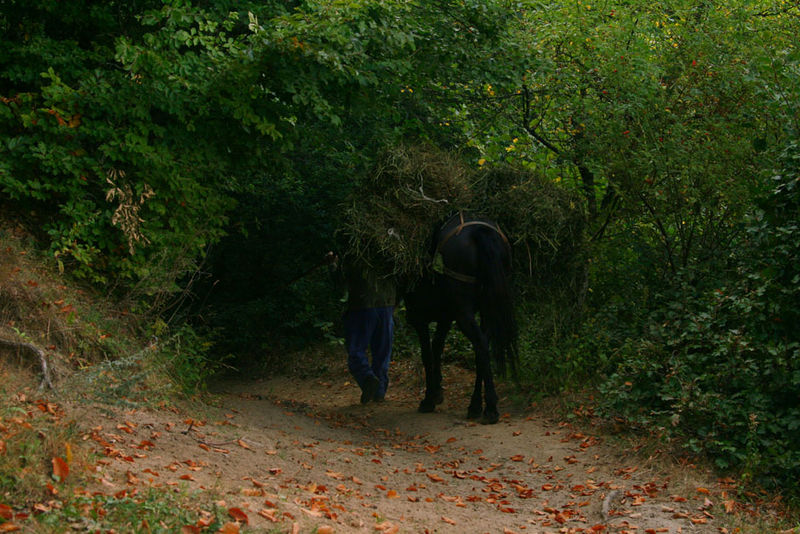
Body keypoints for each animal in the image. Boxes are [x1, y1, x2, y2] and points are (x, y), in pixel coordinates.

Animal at [403, 212, 518, 424]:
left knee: (480, 344)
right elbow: (437, 347)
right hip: (487, 309)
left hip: (463, 312)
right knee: (482, 347)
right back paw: (475, 406)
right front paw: (437, 391)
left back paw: (490, 408)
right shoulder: (445, 317)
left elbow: (427, 354)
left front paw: (429, 399)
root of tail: (481, 231)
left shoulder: (420, 318)